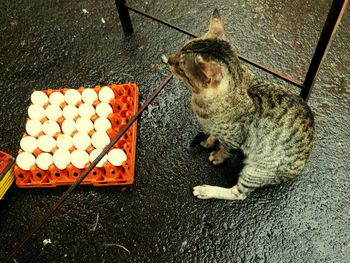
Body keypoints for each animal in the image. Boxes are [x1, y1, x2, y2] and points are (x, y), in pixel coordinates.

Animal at [166, 9, 314, 201]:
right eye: (180, 49)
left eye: (181, 67)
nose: (168, 59)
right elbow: (214, 135)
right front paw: (210, 140)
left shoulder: (234, 139)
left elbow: (226, 149)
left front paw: (218, 155)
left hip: (256, 170)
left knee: (238, 194)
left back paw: (206, 190)